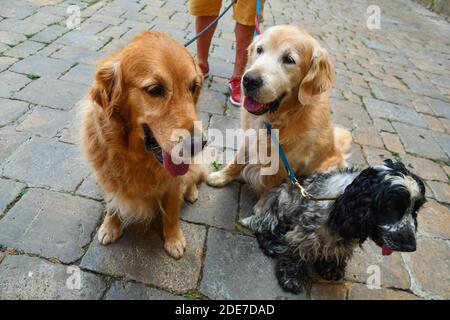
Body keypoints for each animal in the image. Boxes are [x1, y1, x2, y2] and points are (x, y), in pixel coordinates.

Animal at [81, 31, 206, 258]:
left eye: (193, 87)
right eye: (155, 90)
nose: (198, 144)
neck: (137, 156)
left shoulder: (173, 184)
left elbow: (172, 212)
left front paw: (174, 239)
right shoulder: (108, 177)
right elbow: (112, 204)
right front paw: (110, 226)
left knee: (193, 175)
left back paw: (191, 192)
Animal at [207, 25, 352, 198]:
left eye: (289, 59)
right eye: (260, 49)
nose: (249, 80)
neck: (276, 120)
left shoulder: (283, 168)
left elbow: (268, 192)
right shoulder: (249, 139)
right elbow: (237, 160)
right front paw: (220, 177)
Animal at [241, 159, 424, 294]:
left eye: (415, 209)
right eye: (392, 206)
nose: (411, 247)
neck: (342, 202)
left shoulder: (344, 239)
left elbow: (337, 253)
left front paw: (332, 269)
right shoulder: (306, 231)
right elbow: (295, 252)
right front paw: (290, 277)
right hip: (284, 202)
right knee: (263, 224)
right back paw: (272, 244)